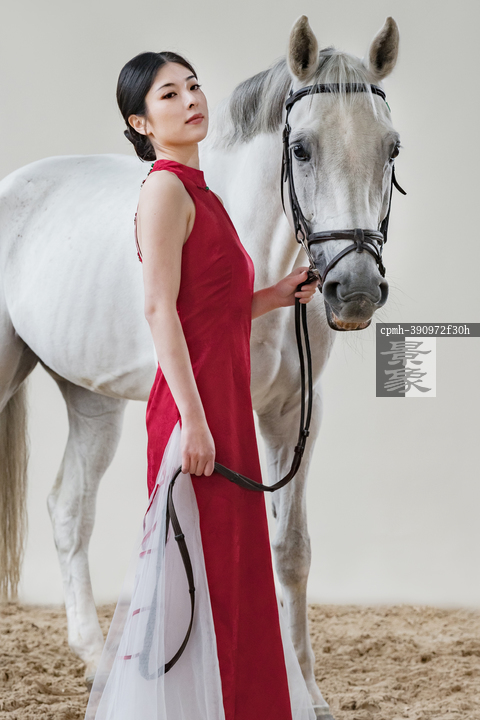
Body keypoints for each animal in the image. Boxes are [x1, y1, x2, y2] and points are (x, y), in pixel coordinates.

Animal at [0, 15, 401, 719]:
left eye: (392, 149)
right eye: (301, 149)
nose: (353, 290)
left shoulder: (294, 414)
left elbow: (290, 550)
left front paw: (308, 692)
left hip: (91, 400)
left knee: (69, 510)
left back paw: (94, 659)